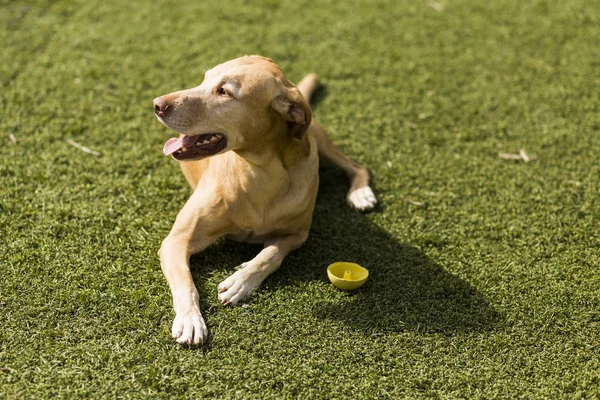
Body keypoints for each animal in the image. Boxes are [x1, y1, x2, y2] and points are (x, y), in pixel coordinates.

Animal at [154, 54, 376, 346]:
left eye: (224, 92)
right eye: (204, 79)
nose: (157, 104)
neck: (258, 171)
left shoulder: (297, 234)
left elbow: (271, 254)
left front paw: (242, 280)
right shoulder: (176, 241)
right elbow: (186, 283)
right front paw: (190, 319)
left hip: (319, 140)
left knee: (357, 167)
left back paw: (361, 193)